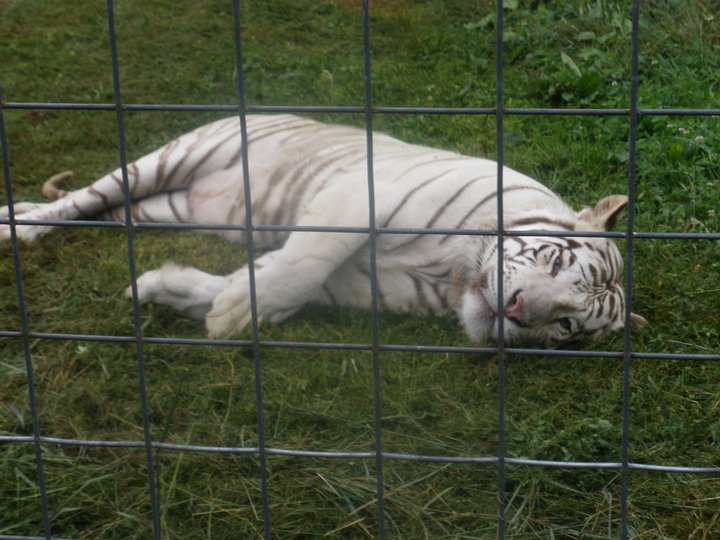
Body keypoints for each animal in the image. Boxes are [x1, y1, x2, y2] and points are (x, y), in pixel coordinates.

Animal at [0, 114, 646, 347]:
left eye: (565, 326)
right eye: (556, 264)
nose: (514, 310)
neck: (453, 276)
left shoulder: (364, 285)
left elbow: (282, 280)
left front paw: (171, 290)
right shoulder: (361, 195)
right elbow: (304, 261)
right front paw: (235, 314)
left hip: (165, 209)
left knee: (106, 213)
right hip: (168, 160)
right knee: (88, 195)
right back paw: (19, 226)